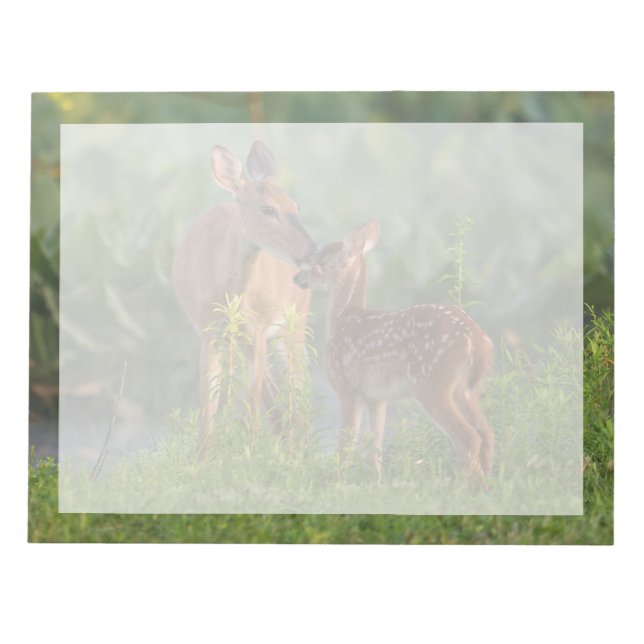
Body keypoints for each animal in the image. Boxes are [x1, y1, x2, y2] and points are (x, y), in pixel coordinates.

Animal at [172, 141, 318, 459]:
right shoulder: (209, 332)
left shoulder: (259, 330)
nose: (312, 251)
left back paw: (302, 449)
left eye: (296, 207)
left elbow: (252, 402)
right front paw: (202, 460)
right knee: (277, 391)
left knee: (299, 383)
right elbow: (209, 404)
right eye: (268, 208)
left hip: (295, 322)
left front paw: (250, 455)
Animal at [293, 219, 495, 483]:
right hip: (468, 389)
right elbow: (375, 447)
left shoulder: (347, 387)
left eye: (321, 263)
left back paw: (461, 486)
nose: (297, 277)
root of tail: (476, 341)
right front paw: (377, 482)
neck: (344, 317)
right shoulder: (377, 397)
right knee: (487, 434)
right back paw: (486, 484)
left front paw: (339, 481)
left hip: (432, 383)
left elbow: (346, 444)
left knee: (468, 437)